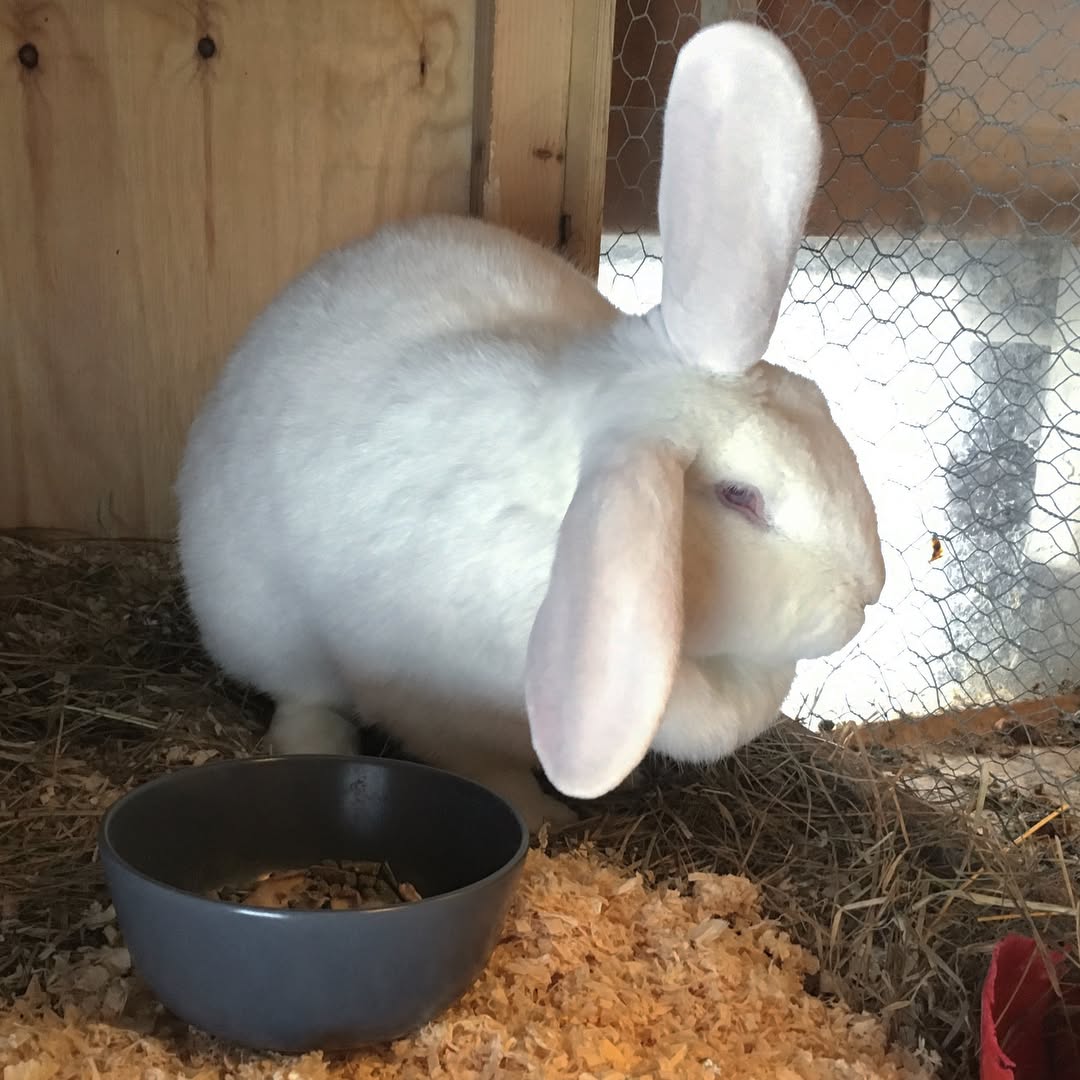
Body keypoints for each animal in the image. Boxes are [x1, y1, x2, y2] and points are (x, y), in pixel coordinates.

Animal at [175, 21, 886, 834]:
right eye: (741, 497)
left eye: (818, 399)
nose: (867, 594)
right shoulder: (431, 704)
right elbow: (492, 766)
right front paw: (547, 817)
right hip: (256, 622)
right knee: (303, 693)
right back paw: (310, 741)